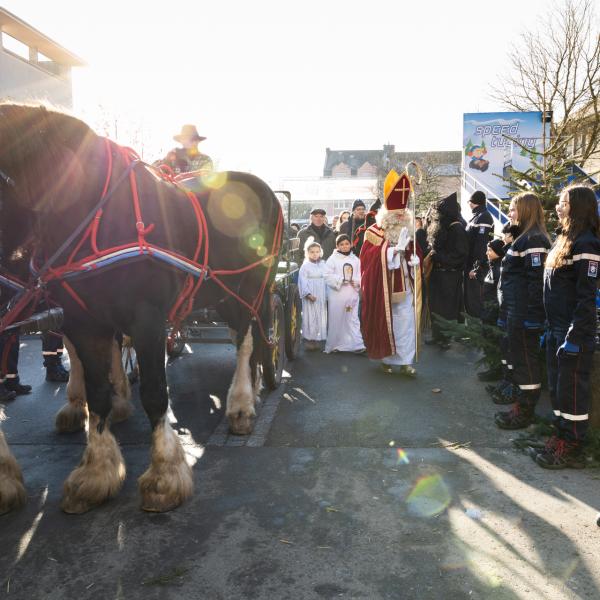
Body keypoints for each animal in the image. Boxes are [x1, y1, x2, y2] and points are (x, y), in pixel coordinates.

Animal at [0, 104, 282, 516]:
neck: (97, 215)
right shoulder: (85, 323)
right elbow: (98, 393)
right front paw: (96, 473)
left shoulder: (147, 319)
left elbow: (153, 392)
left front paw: (165, 475)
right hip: (225, 294)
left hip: (251, 287)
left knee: (247, 341)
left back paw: (242, 405)